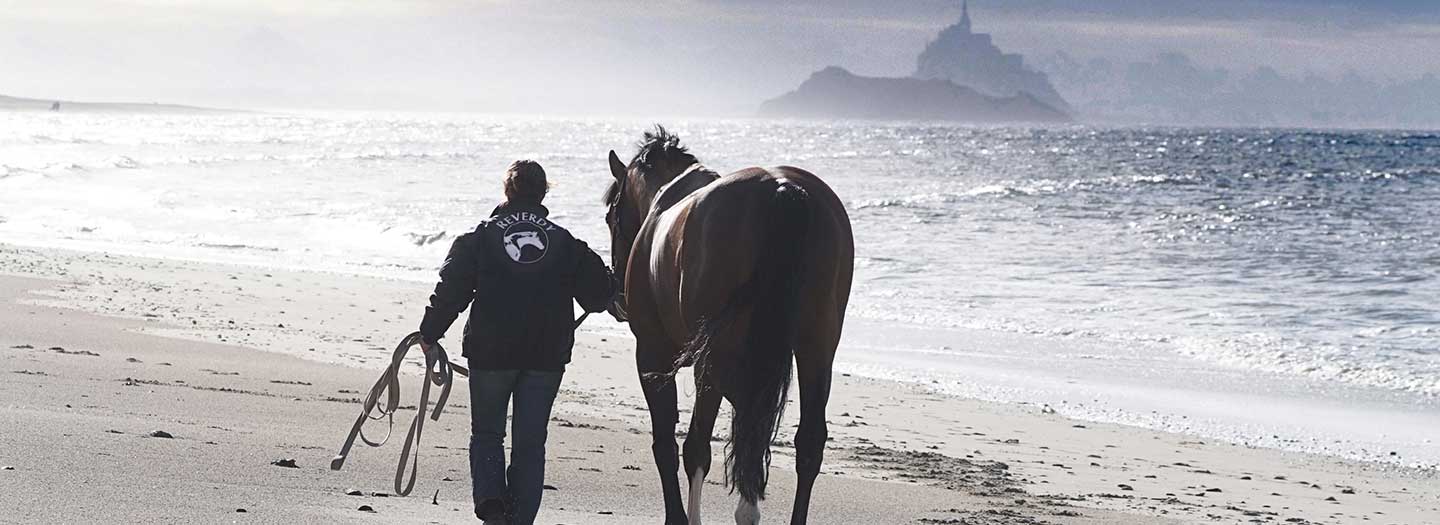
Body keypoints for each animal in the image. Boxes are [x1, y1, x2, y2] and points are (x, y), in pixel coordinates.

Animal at [599, 128, 846, 523]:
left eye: (611, 216)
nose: (617, 297)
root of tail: (781, 189)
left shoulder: (652, 355)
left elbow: (667, 444)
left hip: (715, 357)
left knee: (710, 440)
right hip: (816, 347)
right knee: (807, 443)